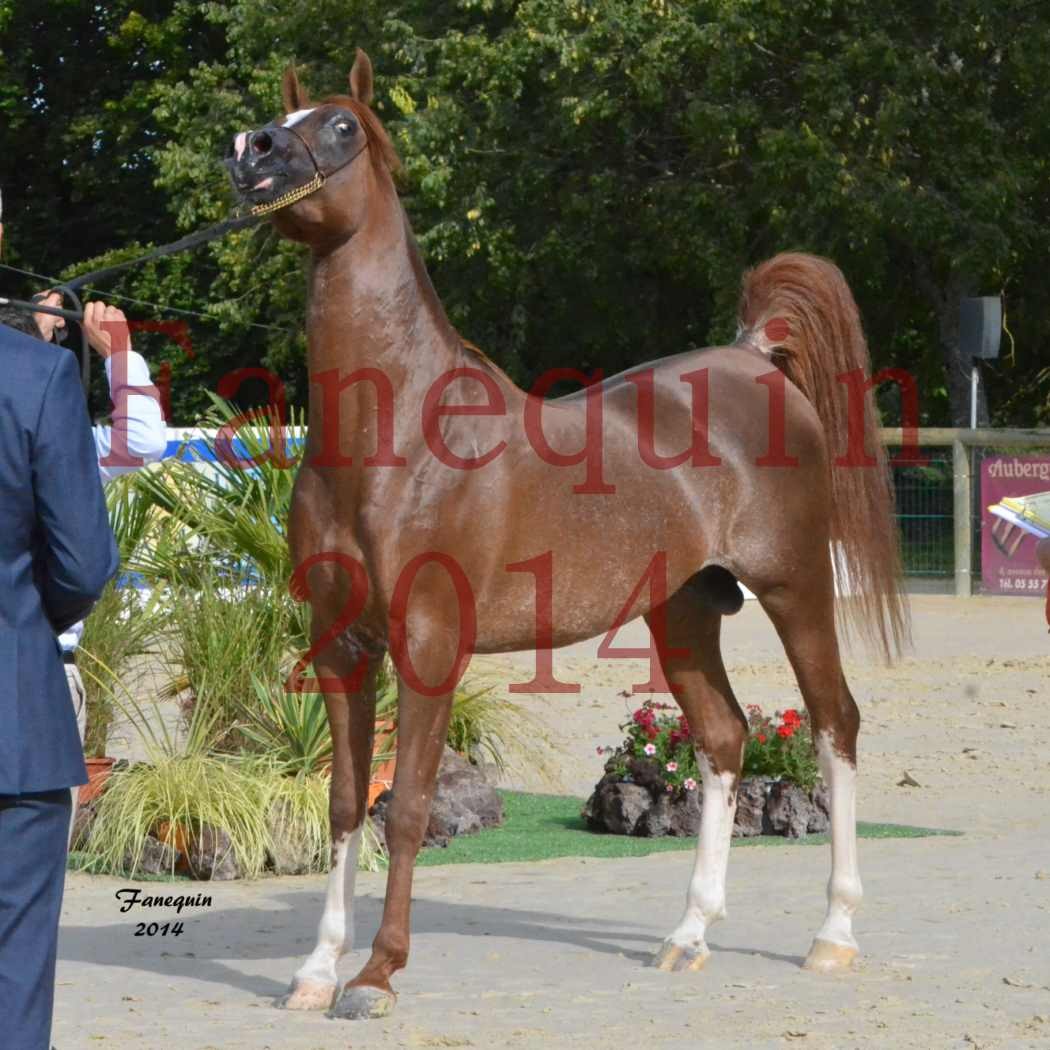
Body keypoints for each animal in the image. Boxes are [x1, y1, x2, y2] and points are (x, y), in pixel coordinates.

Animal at [225, 53, 907, 1020]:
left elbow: (410, 804)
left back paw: (833, 936)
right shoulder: (341, 644)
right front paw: (318, 970)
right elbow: (347, 800)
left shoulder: (430, 644)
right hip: (682, 612)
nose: (251, 151)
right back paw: (689, 936)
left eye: (342, 126)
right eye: (280, 119)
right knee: (725, 738)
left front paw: (378, 974)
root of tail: (751, 357)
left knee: (832, 725)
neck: (394, 432)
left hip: (796, 588)